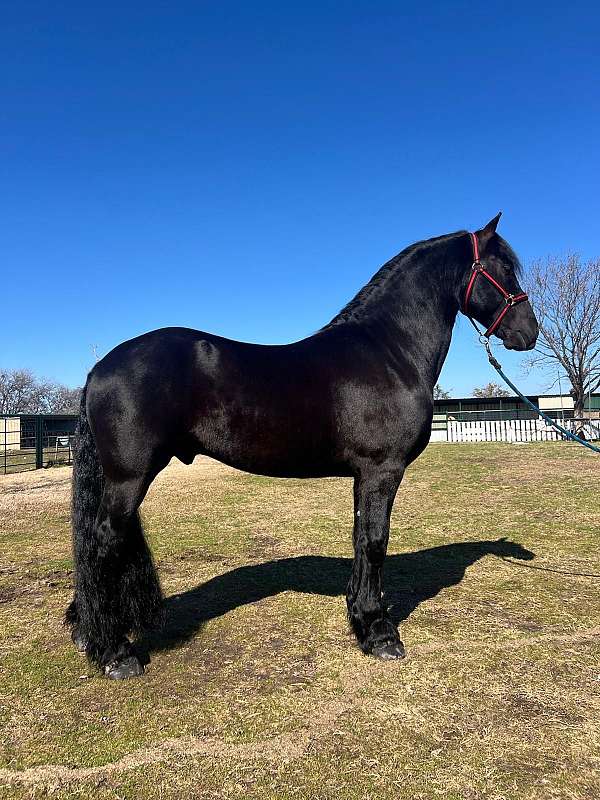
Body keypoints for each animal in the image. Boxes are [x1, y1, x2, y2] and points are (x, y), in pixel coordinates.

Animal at [65, 216, 540, 680]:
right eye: (502, 268)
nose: (529, 332)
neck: (389, 351)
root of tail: (99, 367)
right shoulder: (382, 470)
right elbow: (375, 541)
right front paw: (380, 633)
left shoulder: (363, 476)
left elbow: (360, 538)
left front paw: (360, 617)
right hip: (130, 477)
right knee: (104, 543)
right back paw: (115, 653)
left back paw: (91, 633)